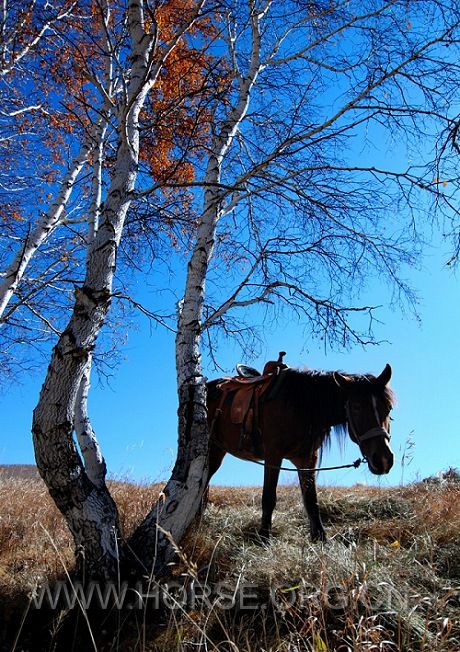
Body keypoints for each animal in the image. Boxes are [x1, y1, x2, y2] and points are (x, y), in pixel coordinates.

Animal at [207, 364, 394, 544]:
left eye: (389, 407)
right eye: (356, 407)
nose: (383, 459)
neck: (299, 406)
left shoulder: (307, 459)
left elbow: (311, 500)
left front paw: (320, 538)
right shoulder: (273, 455)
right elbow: (269, 497)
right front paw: (264, 538)